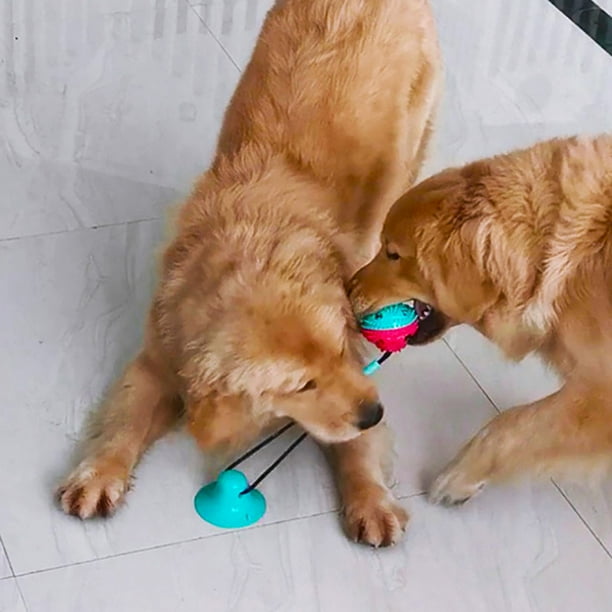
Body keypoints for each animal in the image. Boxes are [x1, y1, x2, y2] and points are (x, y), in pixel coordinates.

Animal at [57, 0, 440, 544]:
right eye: (301, 385)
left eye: (341, 351)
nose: (375, 412)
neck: (254, 248)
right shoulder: (159, 356)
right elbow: (127, 417)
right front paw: (97, 474)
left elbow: (355, 446)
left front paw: (372, 500)